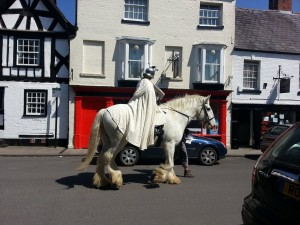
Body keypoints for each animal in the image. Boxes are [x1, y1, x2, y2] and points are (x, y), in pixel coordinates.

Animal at [78, 94, 216, 189]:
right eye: (209, 108)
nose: (214, 125)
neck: (175, 117)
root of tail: (105, 111)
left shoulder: (170, 146)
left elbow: (170, 162)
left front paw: (171, 178)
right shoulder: (169, 144)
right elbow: (170, 164)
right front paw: (158, 176)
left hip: (110, 142)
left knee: (103, 158)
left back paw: (102, 181)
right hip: (117, 142)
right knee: (107, 157)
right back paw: (115, 179)